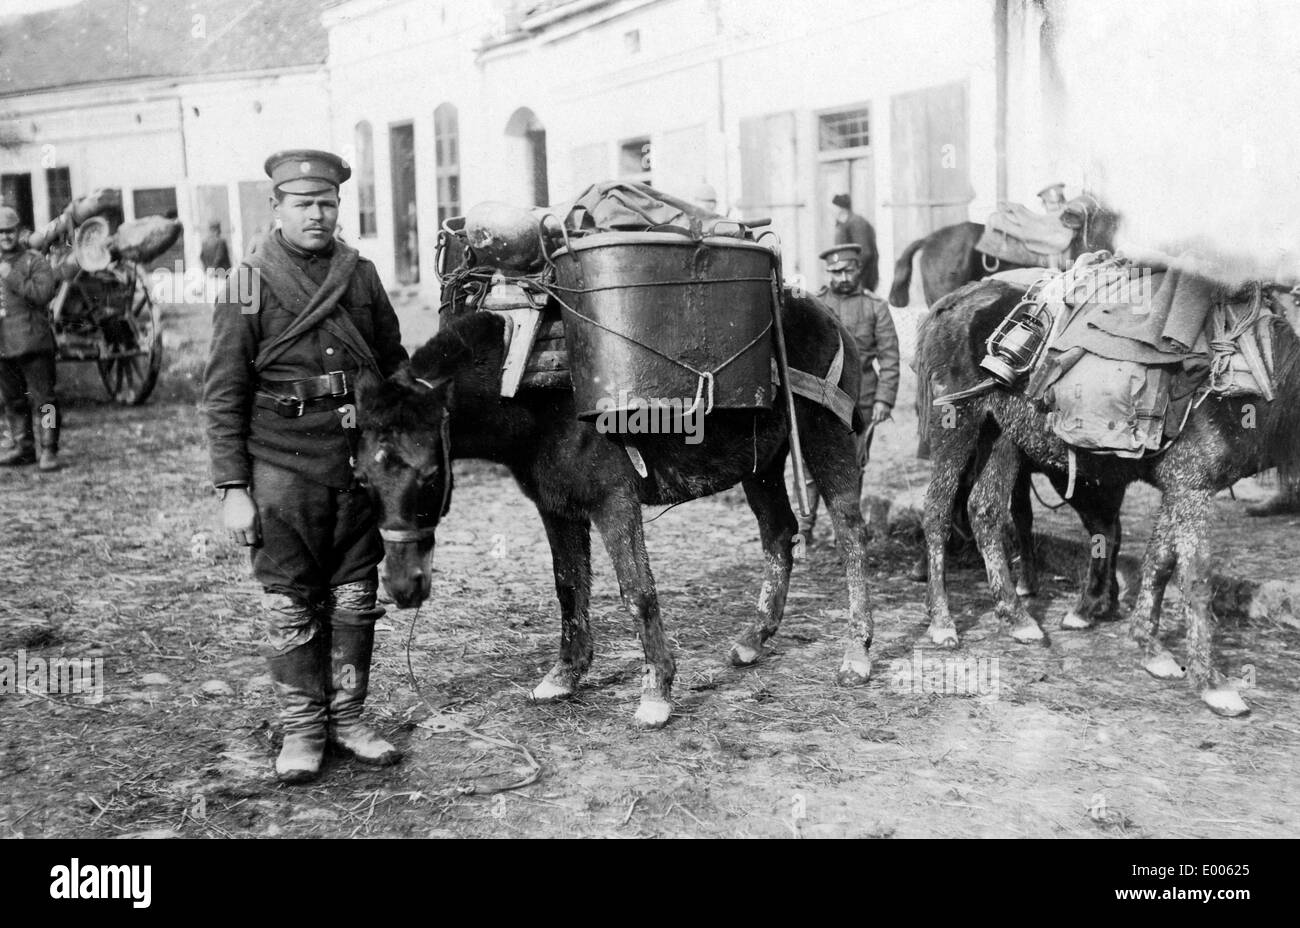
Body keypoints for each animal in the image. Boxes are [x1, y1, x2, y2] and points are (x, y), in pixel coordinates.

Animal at [356, 296, 873, 722]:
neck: (530, 386)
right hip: (761, 464)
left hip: (825, 438)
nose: (401, 587)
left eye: (428, 476)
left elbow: (637, 590)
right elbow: (569, 587)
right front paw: (564, 675)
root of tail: (831, 317)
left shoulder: (614, 501)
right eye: (361, 478)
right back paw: (753, 640)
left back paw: (857, 652)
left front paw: (657, 692)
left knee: (850, 532)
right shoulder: (556, 507)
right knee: (778, 533)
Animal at [920, 280, 1294, 717]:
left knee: (986, 509)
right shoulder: (1193, 486)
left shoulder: (1178, 488)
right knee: (938, 512)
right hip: (956, 424)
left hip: (1003, 437)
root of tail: (957, 300)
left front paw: (1151, 648)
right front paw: (1212, 683)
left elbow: (1158, 563)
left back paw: (1019, 619)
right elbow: (1196, 578)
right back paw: (943, 623)